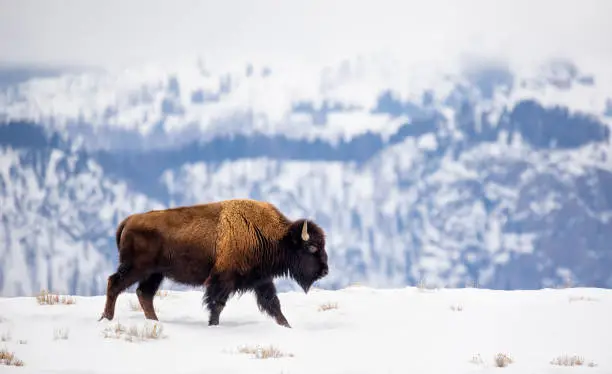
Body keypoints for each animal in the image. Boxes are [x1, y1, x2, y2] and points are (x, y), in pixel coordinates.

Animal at [97, 199, 330, 328]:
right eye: (312, 247)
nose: (325, 270)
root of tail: (128, 221)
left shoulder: (261, 280)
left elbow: (273, 305)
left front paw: (287, 327)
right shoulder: (222, 280)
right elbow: (217, 304)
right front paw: (213, 325)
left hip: (155, 273)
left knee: (144, 294)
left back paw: (154, 322)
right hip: (136, 268)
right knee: (115, 284)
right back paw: (106, 319)